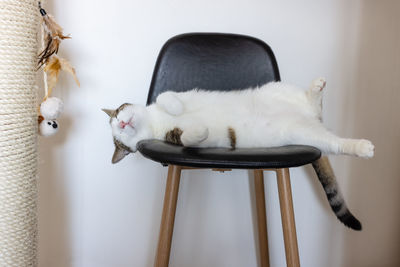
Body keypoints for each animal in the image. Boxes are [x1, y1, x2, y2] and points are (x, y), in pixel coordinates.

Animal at [103, 77, 376, 230]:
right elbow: (191, 136)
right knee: (335, 143)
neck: (156, 122)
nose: (122, 124)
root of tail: (309, 118)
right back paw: (360, 147)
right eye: (120, 142)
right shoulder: (186, 137)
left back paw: (315, 91)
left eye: (117, 114)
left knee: (312, 104)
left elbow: (165, 96)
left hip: (275, 89)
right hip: (305, 134)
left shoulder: (179, 95)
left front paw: (175, 107)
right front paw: (199, 129)